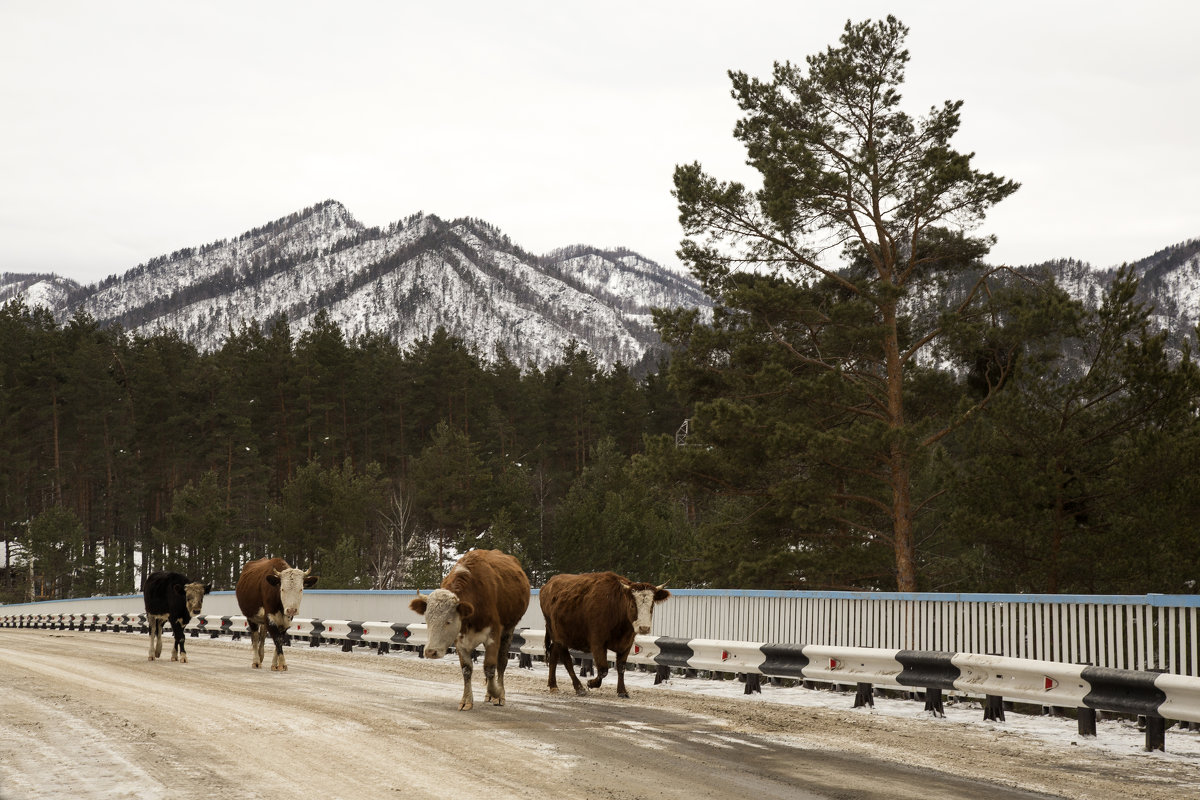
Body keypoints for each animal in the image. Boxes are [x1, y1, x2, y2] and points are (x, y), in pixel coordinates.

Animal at [408, 546, 530, 710]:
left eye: (448, 621)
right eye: (427, 620)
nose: (430, 652)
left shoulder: (493, 635)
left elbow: (490, 667)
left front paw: (497, 692)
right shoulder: (460, 640)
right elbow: (466, 669)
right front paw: (466, 700)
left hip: (508, 631)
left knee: (501, 663)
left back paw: (499, 694)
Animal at [540, 573, 672, 695]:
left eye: (652, 605)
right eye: (632, 605)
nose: (644, 628)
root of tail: (548, 584)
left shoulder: (627, 644)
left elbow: (621, 667)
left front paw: (622, 691)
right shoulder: (597, 643)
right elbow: (603, 669)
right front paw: (591, 683)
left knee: (554, 655)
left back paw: (553, 685)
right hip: (558, 636)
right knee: (567, 661)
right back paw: (579, 687)